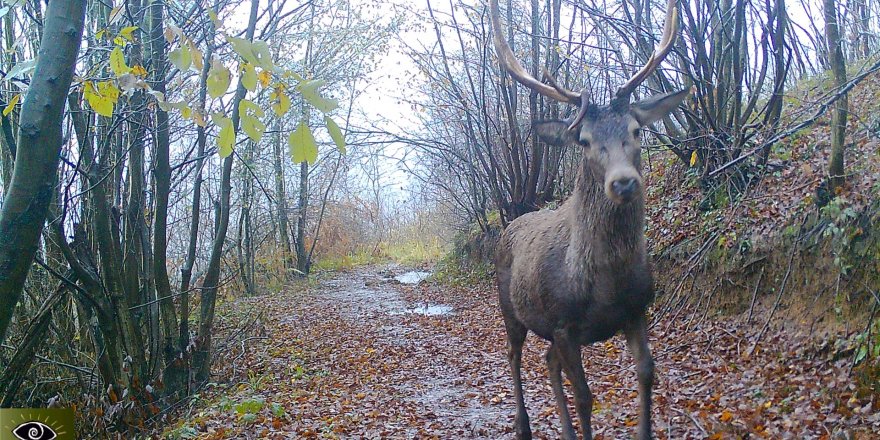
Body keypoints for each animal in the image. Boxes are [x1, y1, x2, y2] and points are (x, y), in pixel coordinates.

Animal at [492, 0, 692, 440]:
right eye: (583, 140)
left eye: (637, 130)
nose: (623, 181)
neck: (606, 285)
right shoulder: (563, 323)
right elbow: (585, 397)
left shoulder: (636, 311)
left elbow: (647, 373)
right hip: (509, 308)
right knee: (513, 356)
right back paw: (522, 425)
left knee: (547, 362)